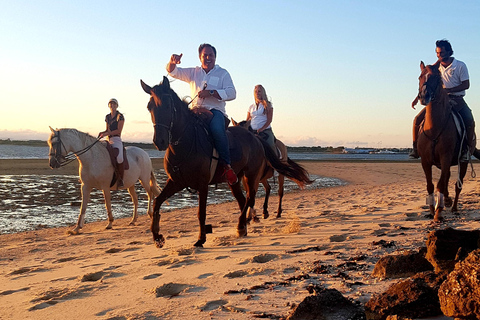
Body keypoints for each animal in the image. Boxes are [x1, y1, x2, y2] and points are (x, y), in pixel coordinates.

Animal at [140, 77, 312, 248]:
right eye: (149, 107)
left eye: (168, 106)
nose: (159, 141)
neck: (185, 143)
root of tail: (256, 138)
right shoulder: (176, 181)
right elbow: (157, 202)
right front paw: (157, 236)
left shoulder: (202, 184)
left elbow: (201, 212)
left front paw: (201, 239)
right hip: (235, 179)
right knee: (243, 199)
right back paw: (244, 226)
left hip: (252, 175)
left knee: (252, 197)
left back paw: (244, 224)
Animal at [416, 62, 472, 222]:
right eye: (420, 77)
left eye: (436, 77)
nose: (424, 96)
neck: (435, 128)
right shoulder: (425, 161)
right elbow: (430, 185)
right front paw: (431, 208)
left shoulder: (445, 157)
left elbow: (441, 184)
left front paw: (438, 212)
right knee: (446, 179)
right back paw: (446, 201)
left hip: (463, 162)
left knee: (457, 185)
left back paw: (453, 208)